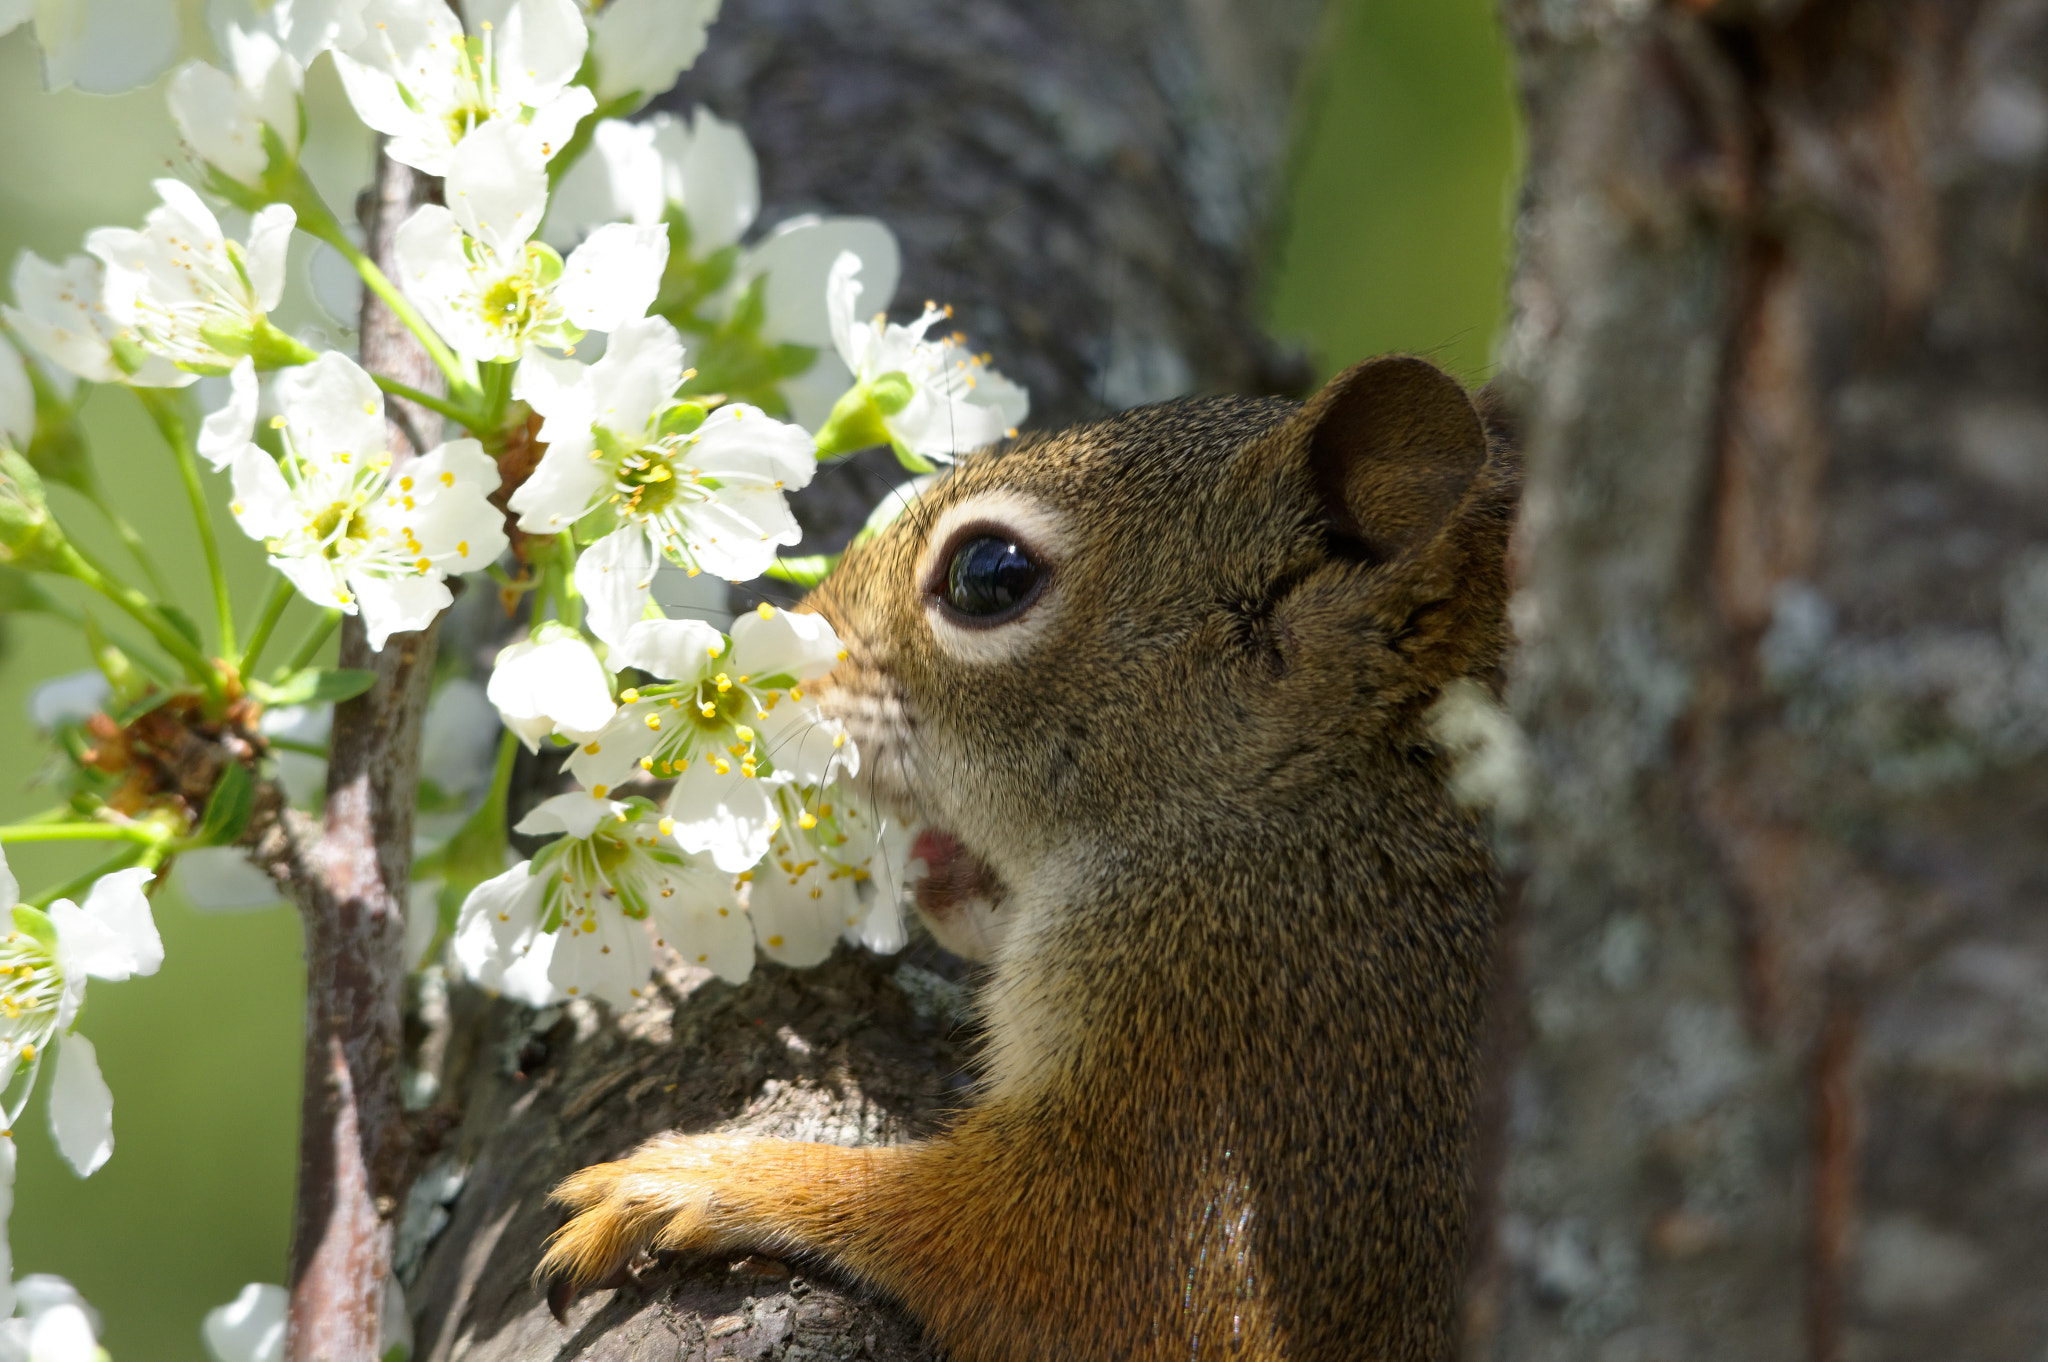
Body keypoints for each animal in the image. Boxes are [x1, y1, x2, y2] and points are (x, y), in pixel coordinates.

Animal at [540, 352, 1523, 1359]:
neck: (1323, 783)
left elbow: (1059, 1267)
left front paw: (703, 1177)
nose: (798, 653)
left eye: (989, 573)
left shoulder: (1243, 1042)